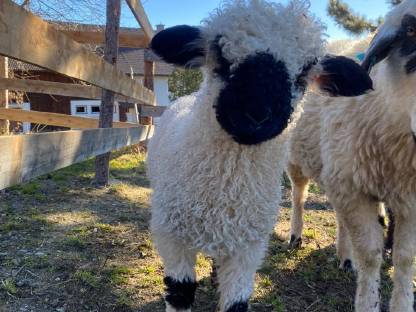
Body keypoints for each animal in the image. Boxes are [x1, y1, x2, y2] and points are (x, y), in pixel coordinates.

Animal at [147, 0, 374, 312]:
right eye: (221, 57)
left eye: (303, 74)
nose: (256, 115)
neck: (222, 195)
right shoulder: (171, 239)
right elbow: (180, 293)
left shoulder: (248, 248)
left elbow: (235, 303)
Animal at [286, 1, 416, 310]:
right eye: (410, 30)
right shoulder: (354, 192)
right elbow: (370, 256)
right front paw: (367, 302)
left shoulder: (410, 199)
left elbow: (406, 258)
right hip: (300, 161)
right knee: (298, 196)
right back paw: (296, 235)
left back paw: (344, 257)